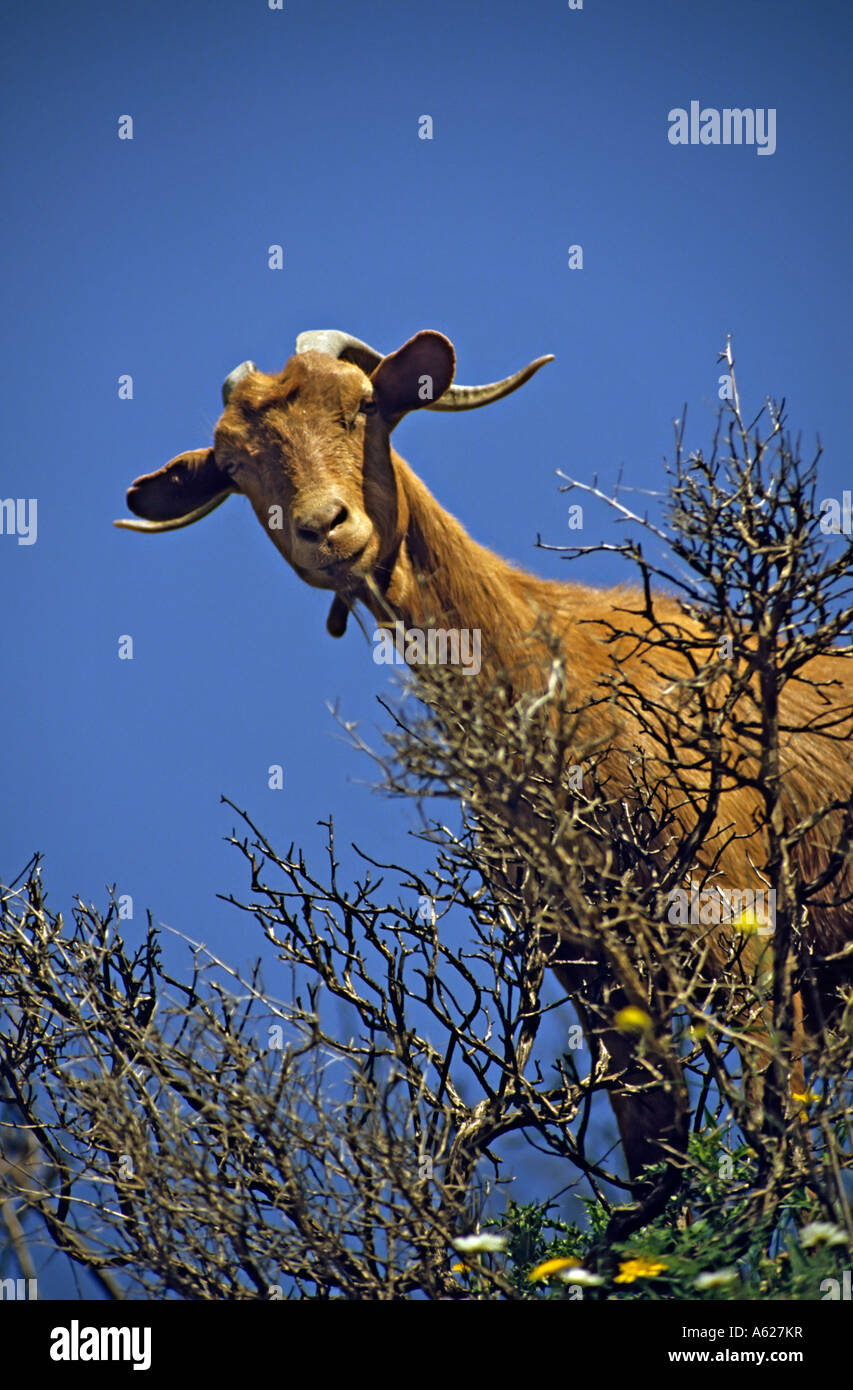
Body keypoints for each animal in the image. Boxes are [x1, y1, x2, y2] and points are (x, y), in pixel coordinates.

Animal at [116, 329, 853, 1183]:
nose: (325, 526)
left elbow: (779, 1129)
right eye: (234, 468)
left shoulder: (740, 913)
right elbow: (652, 1146)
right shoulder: (585, 956)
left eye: (360, 407)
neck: (549, 677)